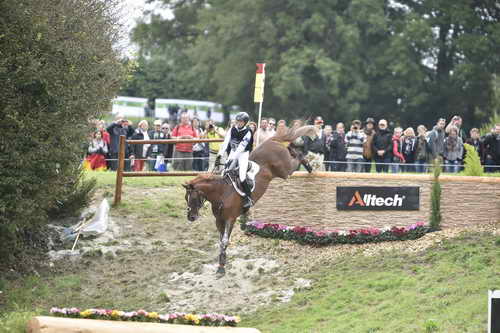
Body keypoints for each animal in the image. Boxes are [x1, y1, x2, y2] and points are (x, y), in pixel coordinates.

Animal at [184, 124, 316, 274]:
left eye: (194, 198)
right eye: (186, 198)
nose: (191, 217)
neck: (221, 193)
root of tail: (271, 141)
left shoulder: (230, 219)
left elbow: (225, 241)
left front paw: (222, 266)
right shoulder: (219, 220)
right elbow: (221, 241)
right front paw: (221, 264)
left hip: (284, 171)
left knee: (296, 159)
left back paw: (308, 164)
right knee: (292, 151)